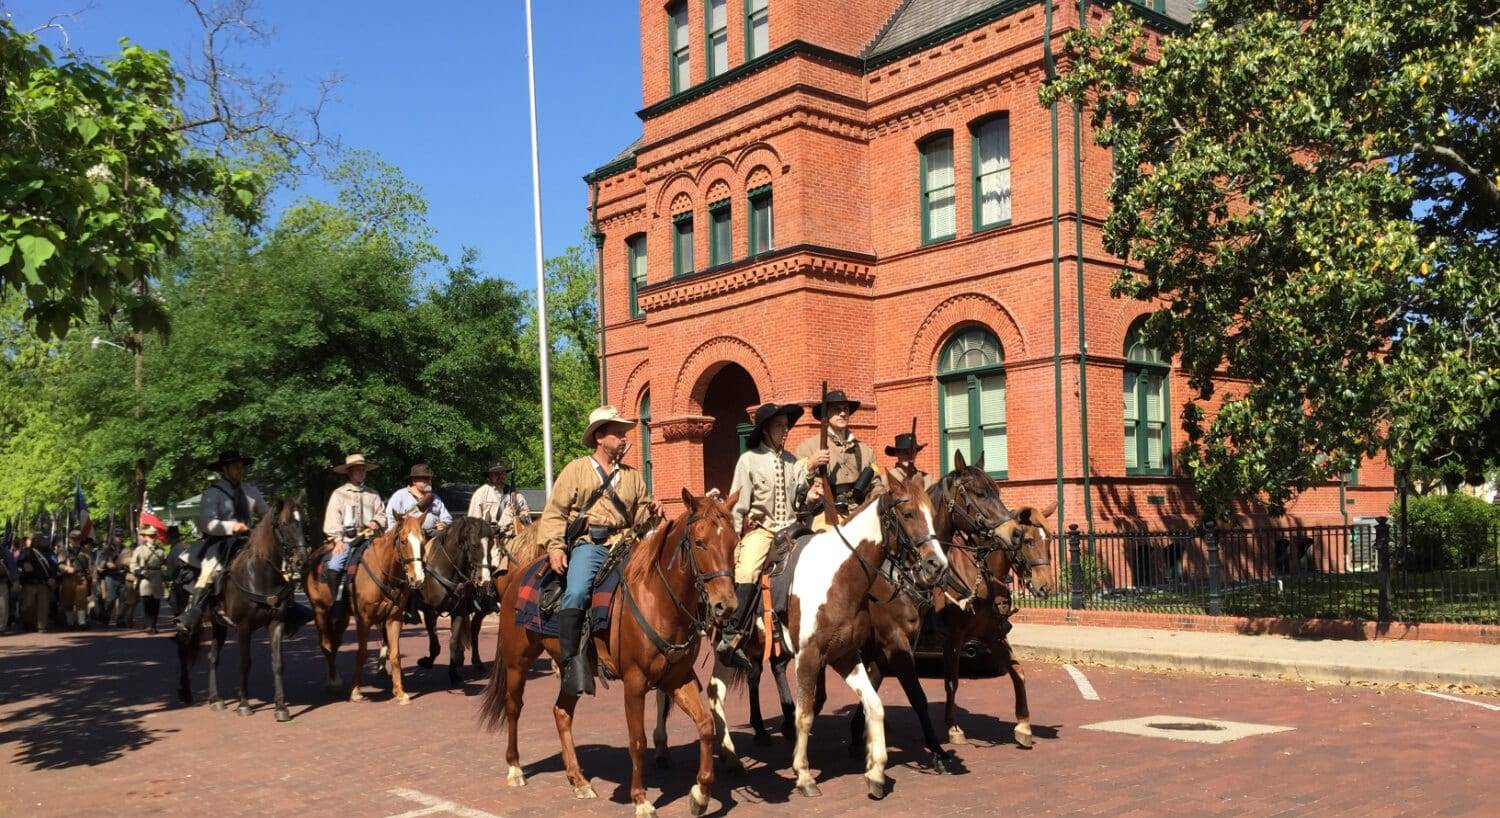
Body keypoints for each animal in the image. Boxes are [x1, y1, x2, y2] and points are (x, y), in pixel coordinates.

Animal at [177, 495, 312, 717]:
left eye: (305, 523)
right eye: (285, 523)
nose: (301, 560)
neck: (260, 575)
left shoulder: (276, 623)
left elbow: (277, 663)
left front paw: (281, 707)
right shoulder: (243, 626)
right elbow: (245, 663)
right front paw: (243, 704)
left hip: (218, 625)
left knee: (212, 658)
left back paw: (215, 699)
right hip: (188, 627)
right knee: (184, 653)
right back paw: (185, 693)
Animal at [477, 489, 741, 810]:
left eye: (734, 542)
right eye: (700, 542)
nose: (726, 606)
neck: (659, 600)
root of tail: (517, 576)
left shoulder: (678, 678)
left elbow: (704, 725)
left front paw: (700, 794)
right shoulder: (635, 682)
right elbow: (637, 740)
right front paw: (640, 799)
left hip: (571, 671)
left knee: (561, 713)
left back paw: (579, 780)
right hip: (517, 663)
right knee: (514, 708)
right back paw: (515, 768)